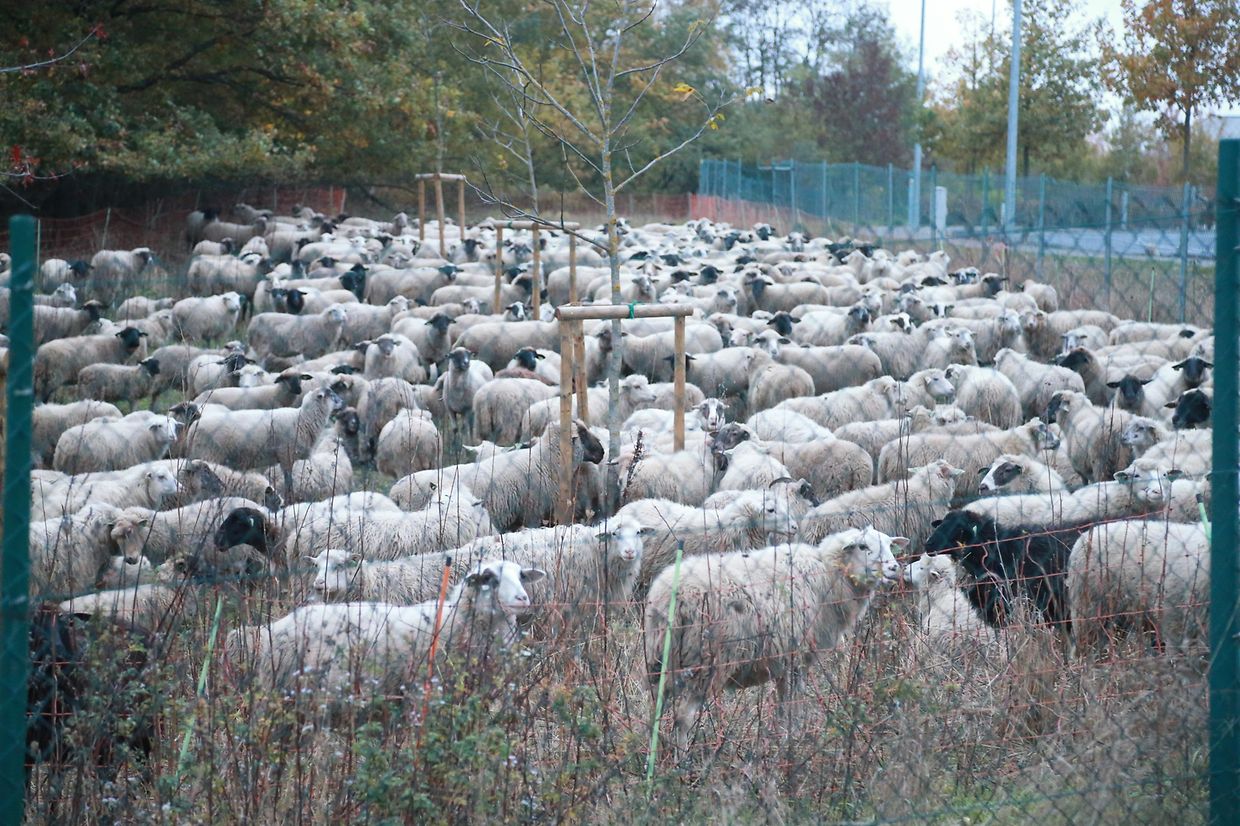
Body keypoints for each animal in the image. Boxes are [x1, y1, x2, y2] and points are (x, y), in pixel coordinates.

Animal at [644, 527, 904, 754]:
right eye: (863, 546)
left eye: (890, 545)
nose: (894, 568)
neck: (828, 576)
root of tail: (671, 596)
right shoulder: (797, 658)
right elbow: (793, 705)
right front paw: (793, 741)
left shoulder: (783, 661)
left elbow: (781, 706)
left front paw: (782, 739)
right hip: (706, 661)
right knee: (683, 717)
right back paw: (682, 761)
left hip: (661, 660)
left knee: (656, 710)